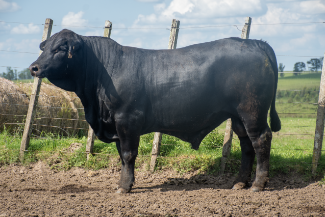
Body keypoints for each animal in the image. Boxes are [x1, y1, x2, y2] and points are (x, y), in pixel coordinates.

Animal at [29, 29, 280, 193]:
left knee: (261, 140)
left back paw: (258, 184)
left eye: (61, 48)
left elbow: (128, 154)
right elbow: (122, 156)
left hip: (252, 112)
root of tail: (254, 43)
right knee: (247, 146)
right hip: (238, 117)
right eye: (45, 47)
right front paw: (125, 183)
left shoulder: (127, 120)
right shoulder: (117, 126)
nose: (34, 67)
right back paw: (240, 182)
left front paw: (123, 187)